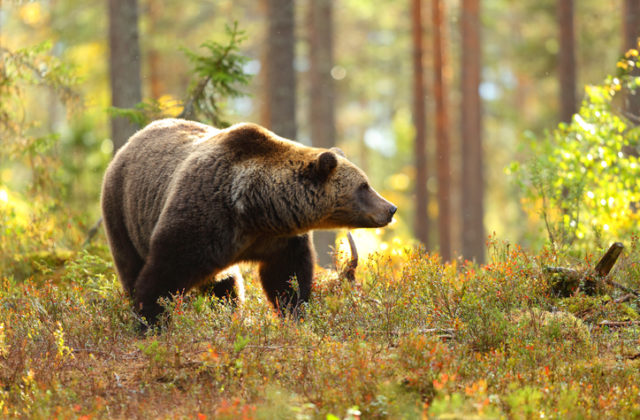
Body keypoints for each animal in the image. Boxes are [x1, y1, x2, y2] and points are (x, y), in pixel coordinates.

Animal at [100, 120, 396, 324]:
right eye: (364, 186)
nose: (390, 208)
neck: (255, 209)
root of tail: (128, 143)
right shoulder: (202, 216)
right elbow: (164, 271)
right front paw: (150, 319)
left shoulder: (278, 240)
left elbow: (286, 278)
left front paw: (295, 312)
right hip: (122, 212)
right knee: (130, 264)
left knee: (225, 285)